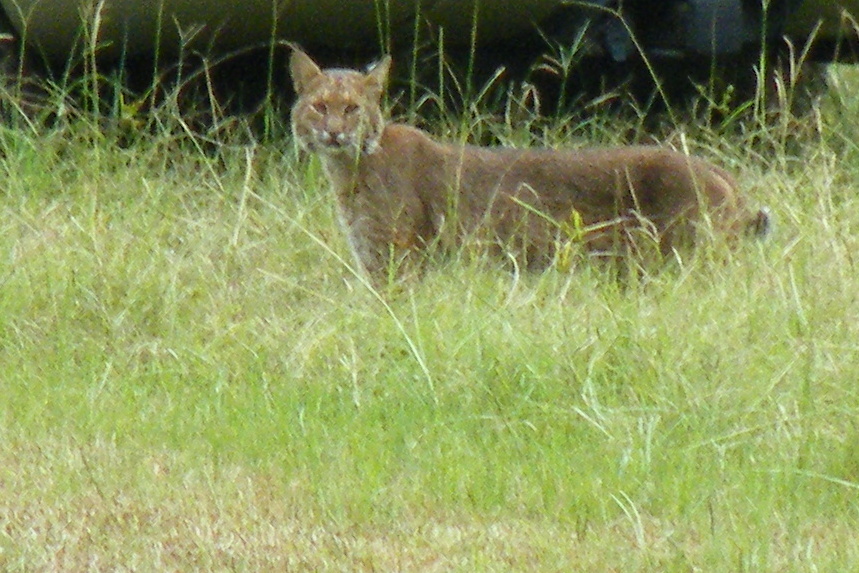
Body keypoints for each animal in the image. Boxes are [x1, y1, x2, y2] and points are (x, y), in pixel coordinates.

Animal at [290, 45, 772, 282]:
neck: (349, 165)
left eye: (351, 109)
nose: (333, 133)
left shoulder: (398, 257)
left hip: (686, 260)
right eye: (319, 107)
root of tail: (720, 172)